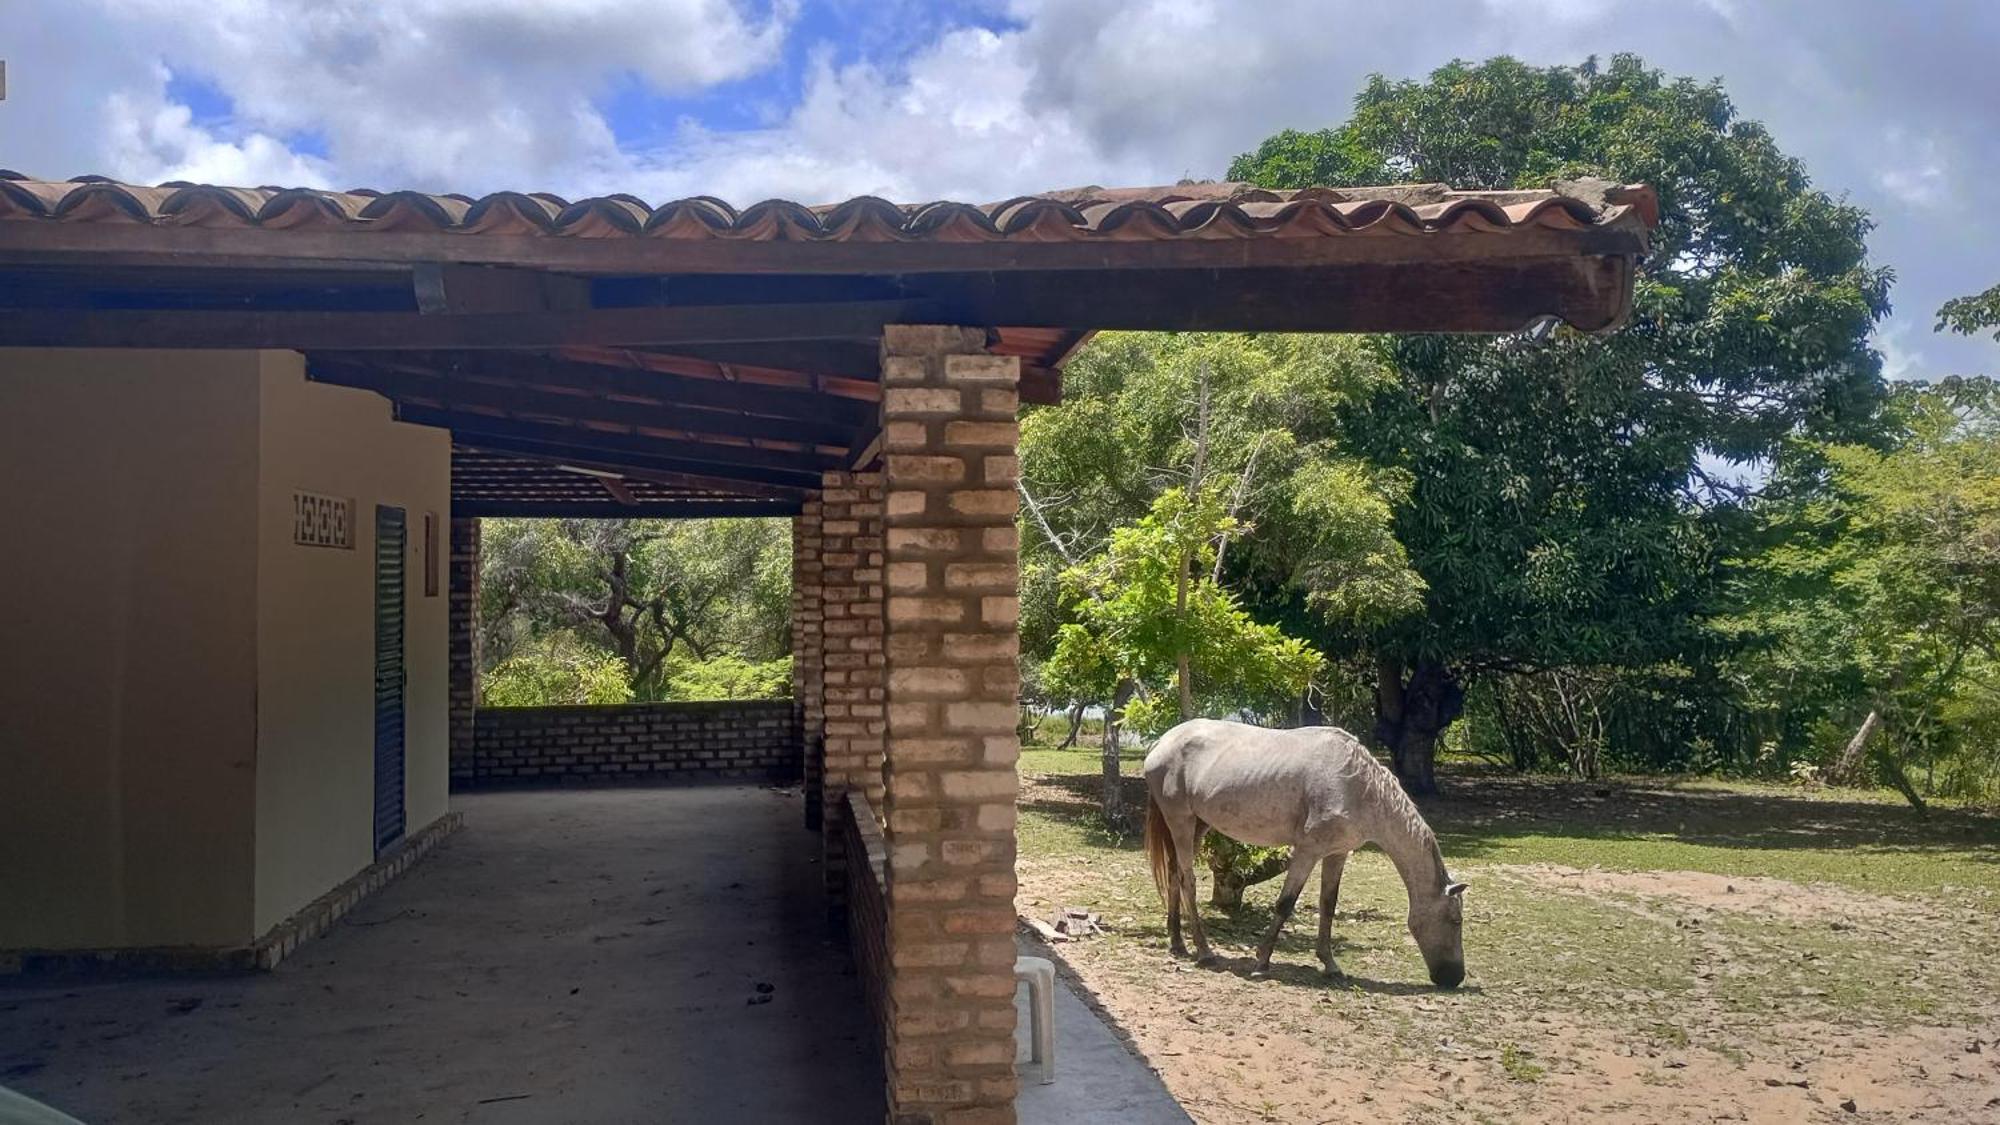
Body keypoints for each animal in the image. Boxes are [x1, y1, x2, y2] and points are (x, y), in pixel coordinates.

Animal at [1144, 716, 1472, 980]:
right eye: (1455, 920)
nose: (1454, 977)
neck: (1359, 786)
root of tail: (1162, 742)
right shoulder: (1307, 851)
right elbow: (1285, 903)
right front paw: (1261, 962)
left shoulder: (1337, 854)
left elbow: (1328, 905)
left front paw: (1330, 965)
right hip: (1181, 821)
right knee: (1186, 880)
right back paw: (1204, 951)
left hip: (1198, 825)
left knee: (1173, 875)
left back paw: (1177, 943)